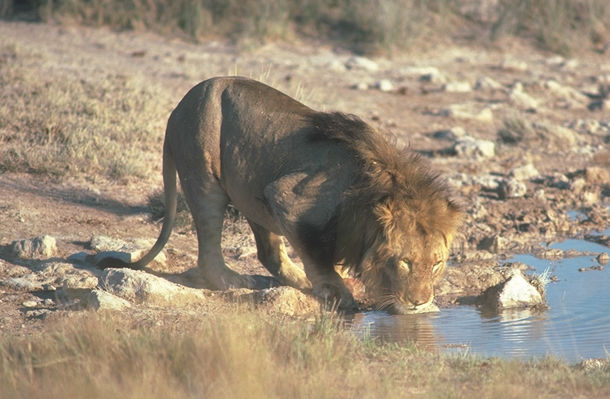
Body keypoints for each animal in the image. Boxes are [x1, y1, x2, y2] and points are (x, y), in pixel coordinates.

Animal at [98, 76, 460, 314]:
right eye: (405, 262)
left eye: (437, 264)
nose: (419, 301)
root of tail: (177, 108)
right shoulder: (289, 197)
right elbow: (317, 256)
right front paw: (339, 292)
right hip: (203, 169)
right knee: (210, 252)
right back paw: (235, 281)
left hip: (253, 193)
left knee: (268, 254)